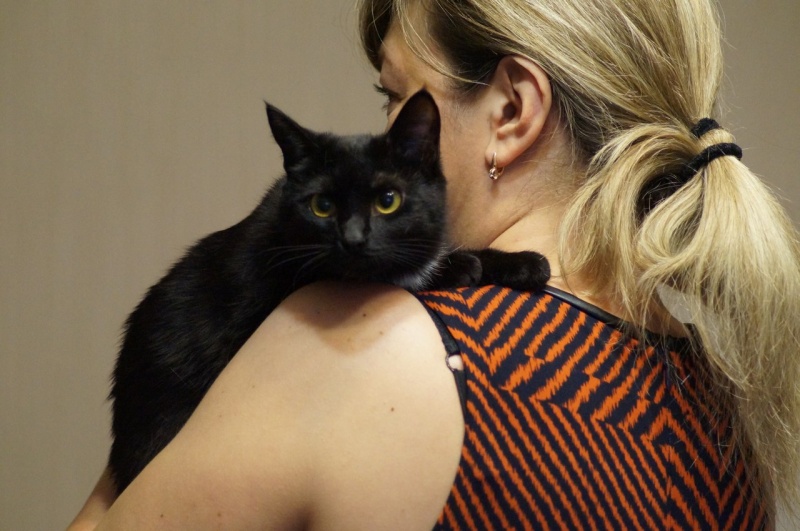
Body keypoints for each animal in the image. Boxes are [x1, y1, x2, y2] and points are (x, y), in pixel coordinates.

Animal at [108, 90, 550, 493]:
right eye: (321, 206)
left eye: (388, 200)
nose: (353, 239)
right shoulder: (285, 282)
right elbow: (402, 271)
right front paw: (459, 266)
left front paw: (524, 262)